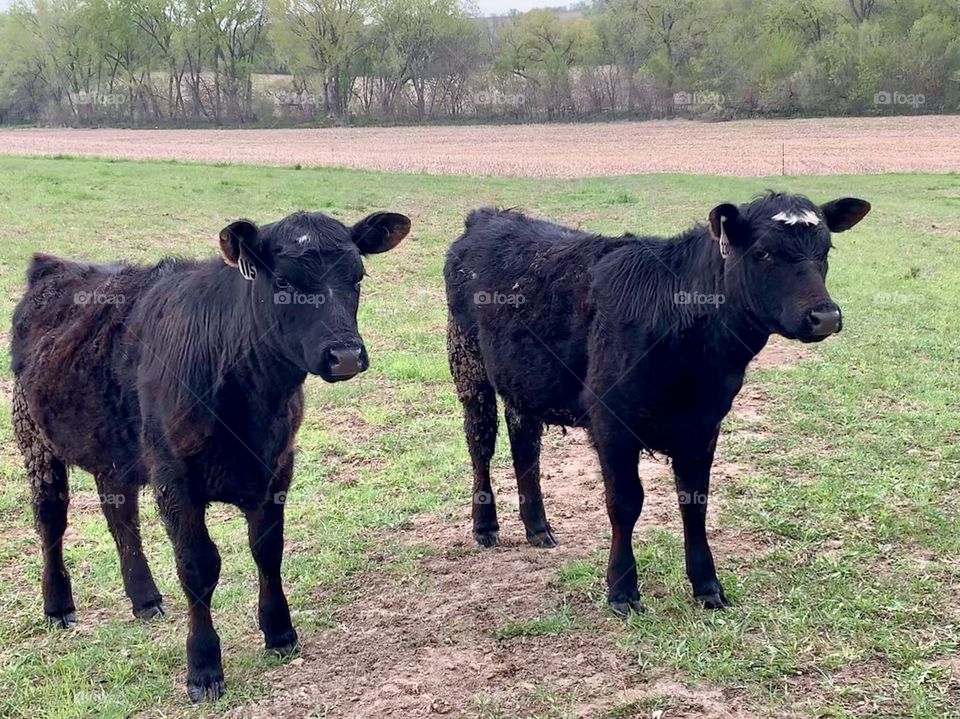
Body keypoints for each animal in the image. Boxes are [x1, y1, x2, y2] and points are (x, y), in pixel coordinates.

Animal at [11, 210, 408, 704]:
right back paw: (58, 606)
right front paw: (203, 668)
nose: (347, 355)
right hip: (34, 436)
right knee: (51, 518)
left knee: (120, 514)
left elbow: (268, 550)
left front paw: (280, 633)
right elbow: (198, 566)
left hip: (114, 446)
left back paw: (145, 598)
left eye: (357, 276)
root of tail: (54, 265)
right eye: (283, 280)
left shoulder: (276, 468)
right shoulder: (174, 478)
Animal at [442, 194, 872, 616]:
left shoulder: (704, 425)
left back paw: (538, 528)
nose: (825, 316)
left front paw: (707, 587)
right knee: (480, 442)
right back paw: (485, 526)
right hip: (467, 362)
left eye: (825, 250)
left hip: (522, 379)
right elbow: (625, 503)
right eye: (763, 252)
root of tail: (488, 216)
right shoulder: (610, 423)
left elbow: (695, 503)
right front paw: (622, 590)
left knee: (524, 444)